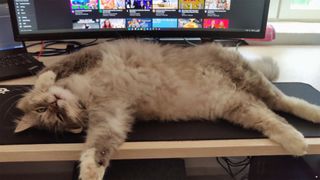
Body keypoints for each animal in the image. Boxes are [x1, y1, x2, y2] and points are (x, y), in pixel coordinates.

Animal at [13, 38, 320, 179]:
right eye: (55, 117)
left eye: (46, 111)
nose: (54, 104)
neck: (85, 95)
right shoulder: (111, 117)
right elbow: (96, 150)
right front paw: (90, 172)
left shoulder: (92, 55)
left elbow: (52, 69)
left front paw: (44, 80)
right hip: (240, 107)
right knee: (274, 118)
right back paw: (296, 141)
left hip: (248, 79)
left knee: (285, 101)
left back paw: (311, 119)